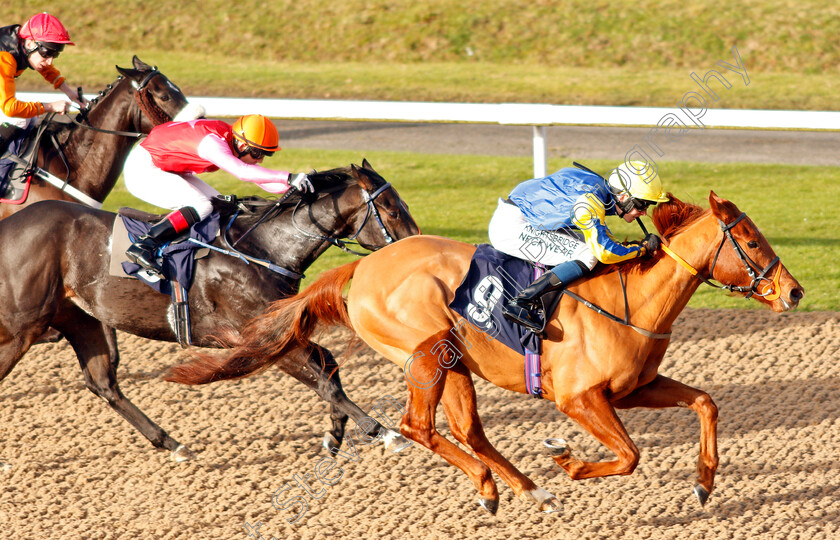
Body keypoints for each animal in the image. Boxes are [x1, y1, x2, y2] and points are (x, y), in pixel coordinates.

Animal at [0, 162, 420, 466]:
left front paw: (334, 436)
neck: (263, 249)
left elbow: (329, 366)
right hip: (22, 326)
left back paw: (173, 445)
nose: (416, 246)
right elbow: (325, 382)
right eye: (391, 209)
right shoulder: (258, 337)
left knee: (103, 384)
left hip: (81, 318)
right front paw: (384, 433)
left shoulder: (281, 331)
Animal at [169, 192, 800, 512]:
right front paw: (568, 460)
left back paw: (524, 488)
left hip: (455, 365)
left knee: (466, 429)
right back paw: (497, 485)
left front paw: (705, 482)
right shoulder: (579, 399)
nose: (792, 291)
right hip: (427, 351)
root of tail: (363, 266)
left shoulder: (634, 389)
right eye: (748, 241)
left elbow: (705, 403)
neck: (631, 302)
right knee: (419, 426)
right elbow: (628, 455)